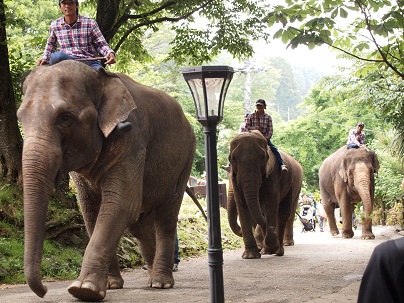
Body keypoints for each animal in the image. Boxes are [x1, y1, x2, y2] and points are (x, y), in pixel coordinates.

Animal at [18, 60, 196, 302]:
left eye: (65, 118)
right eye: (20, 117)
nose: (44, 290)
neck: (101, 80)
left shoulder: (132, 139)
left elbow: (120, 205)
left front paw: (83, 290)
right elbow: (91, 211)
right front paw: (110, 285)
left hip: (184, 161)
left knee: (166, 217)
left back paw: (161, 282)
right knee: (140, 225)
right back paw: (151, 275)